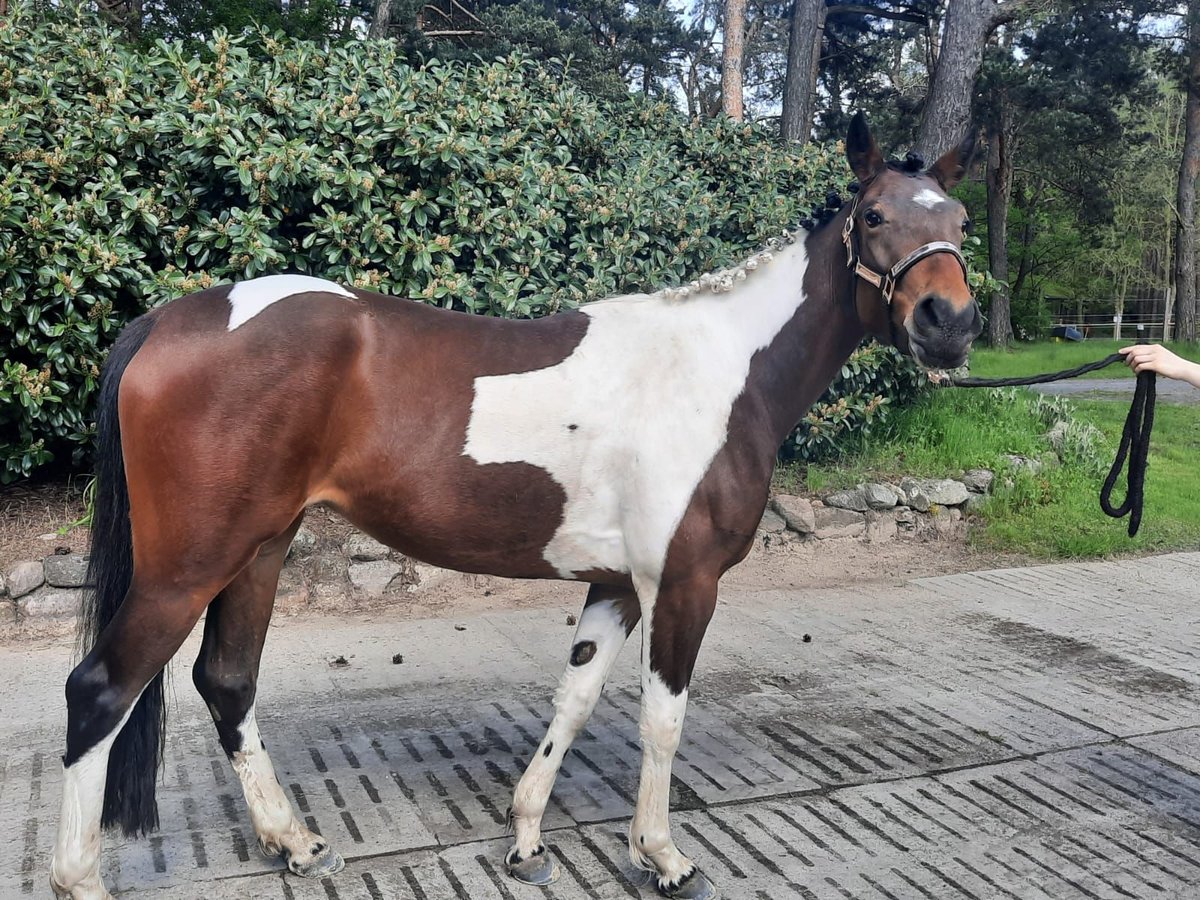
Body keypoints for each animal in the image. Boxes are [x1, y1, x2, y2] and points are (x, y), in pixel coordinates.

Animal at [49, 114, 984, 900]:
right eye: (873, 215)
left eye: (962, 221)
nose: (949, 324)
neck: (721, 372)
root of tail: (171, 320)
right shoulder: (683, 583)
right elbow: (662, 720)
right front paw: (663, 857)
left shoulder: (616, 584)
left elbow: (574, 700)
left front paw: (528, 837)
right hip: (190, 566)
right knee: (101, 690)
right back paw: (83, 877)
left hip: (260, 547)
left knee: (227, 681)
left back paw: (298, 843)